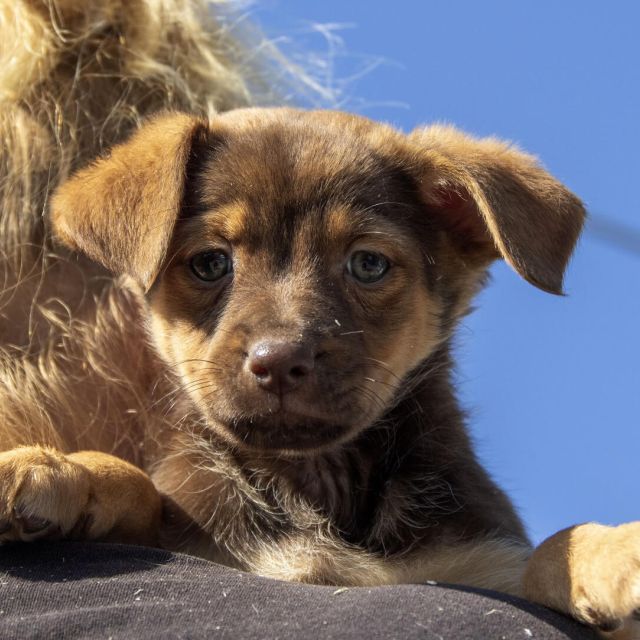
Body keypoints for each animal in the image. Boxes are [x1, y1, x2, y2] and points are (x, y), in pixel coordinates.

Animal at [1, 1, 640, 640]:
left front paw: (615, 554)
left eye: (368, 264)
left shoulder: (480, 558)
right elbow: (140, 485)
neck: (317, 484)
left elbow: (550, 548)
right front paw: (55, 468)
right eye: (210, 262)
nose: (280, 361)